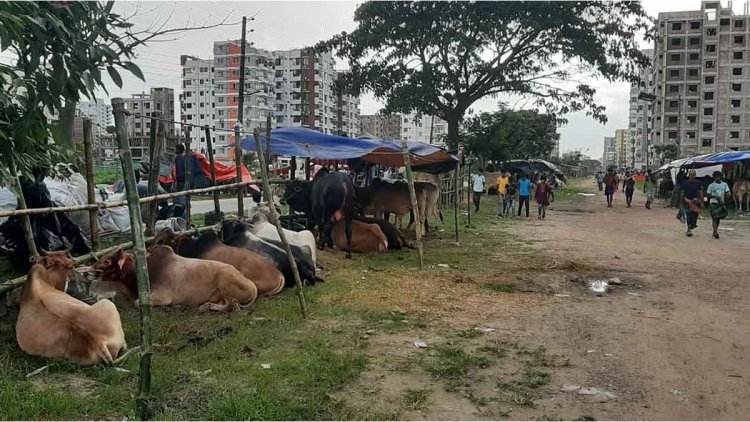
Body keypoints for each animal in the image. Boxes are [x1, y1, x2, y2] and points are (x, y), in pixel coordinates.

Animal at [91, 246, 258, 312]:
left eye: (107, 261)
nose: (91, 268)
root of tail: (251, 284)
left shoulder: (160, 296)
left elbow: (137, 303)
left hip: (225, 281)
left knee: (233, 306)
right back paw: (207, 305)